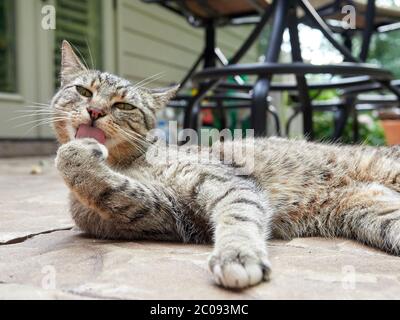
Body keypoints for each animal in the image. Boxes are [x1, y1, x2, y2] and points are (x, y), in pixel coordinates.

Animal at [53, 40, 400, 290]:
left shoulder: (228, 182)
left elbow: (239, 216)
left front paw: (237, 254)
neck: (127, 162)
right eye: (83, 91)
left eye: (123, 105)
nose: (95, 111)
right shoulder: (167, 212)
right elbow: (111, 189)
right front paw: (77, 157)